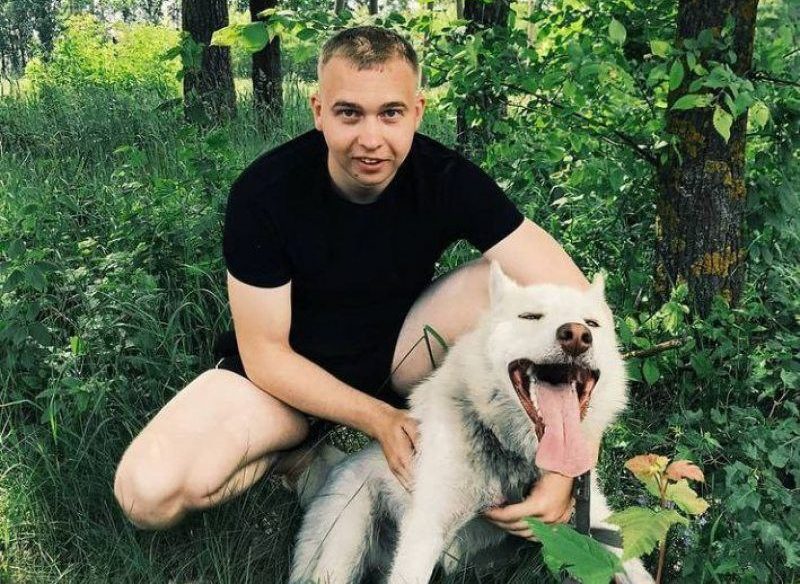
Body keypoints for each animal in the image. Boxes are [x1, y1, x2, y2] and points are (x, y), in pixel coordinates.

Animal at [289, 263, 653, 584]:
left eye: (592, 323)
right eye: (530, 316)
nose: (576, 335)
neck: (511, 453)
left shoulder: (598, 521)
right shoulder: (426, 529)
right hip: (344, 550)